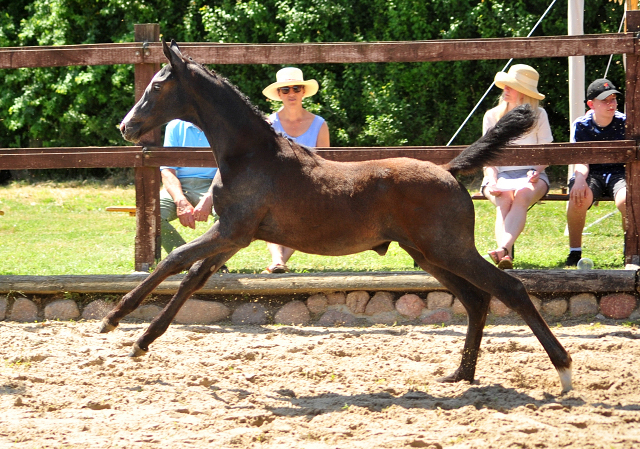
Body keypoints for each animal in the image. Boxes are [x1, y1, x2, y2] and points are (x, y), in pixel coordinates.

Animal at [107, 41, 572, 392]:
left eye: (157, 87)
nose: (125, 127)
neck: (252, 155)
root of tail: (449, 171)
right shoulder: (237, 236)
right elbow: (192, 278)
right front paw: (141, 341)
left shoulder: (230, 230)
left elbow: (173, 261)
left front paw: (116, 317)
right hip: (429, 255)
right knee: (477, 299)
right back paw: (460, 374)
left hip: (449, 249)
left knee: (509, 288)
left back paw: (563, 370)